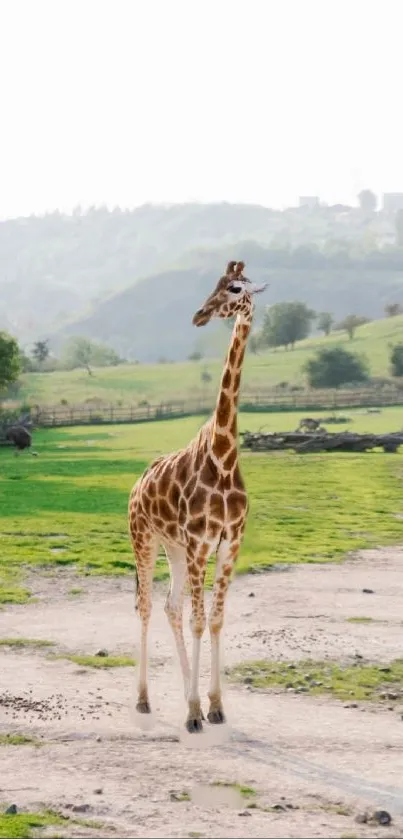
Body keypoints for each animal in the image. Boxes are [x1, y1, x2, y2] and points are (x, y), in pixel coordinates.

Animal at [129, 260, 268, 732]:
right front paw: (193, 712)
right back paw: (144, 700)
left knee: (171, 607)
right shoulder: (199, 544)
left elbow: (217, 620)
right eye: (214, 284)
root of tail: (136, 485)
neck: (224, 457)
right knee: (147, 606)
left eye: (236, 288)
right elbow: (198, 620)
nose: (199, 315)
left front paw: (215, 705)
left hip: (173, 547)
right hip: (145, 539)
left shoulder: (229, 544)